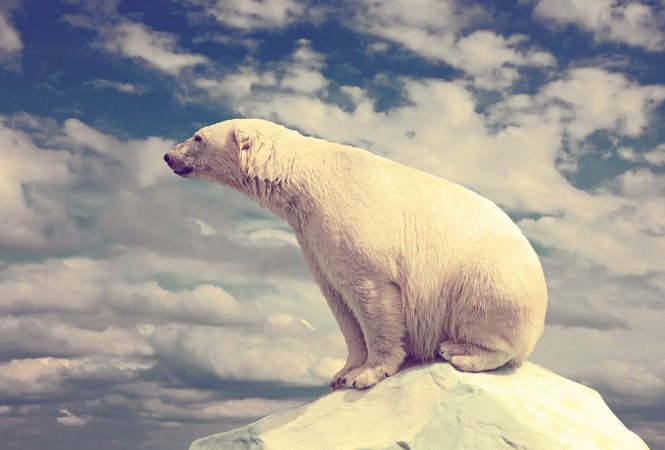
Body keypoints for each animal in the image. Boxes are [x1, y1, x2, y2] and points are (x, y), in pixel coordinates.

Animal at [164, 118, 548, 390]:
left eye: (197, 137)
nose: (168, 156)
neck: (306, 179)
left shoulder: (352, 221)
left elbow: (371, 294)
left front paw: (366, 374)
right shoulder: (312, 237)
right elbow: (339, 301)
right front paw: (342, 373)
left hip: (493, 276)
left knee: (487, 309)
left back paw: (459, 351)